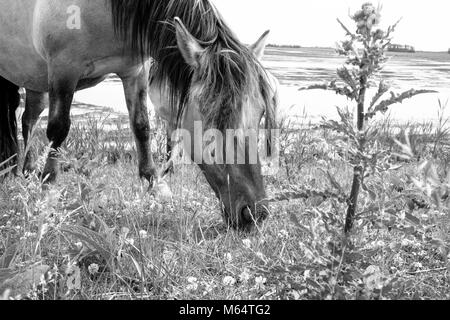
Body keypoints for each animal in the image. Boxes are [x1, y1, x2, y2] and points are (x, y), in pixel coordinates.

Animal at [0, 0, 278, 230]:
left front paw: (156, 187)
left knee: (28, 119)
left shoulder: (134, 71)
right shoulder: (63, 69)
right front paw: (47, 191)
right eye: (217, 115)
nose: (255, 213)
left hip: (35, 81)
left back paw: (26, 171)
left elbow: (141, 127)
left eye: (261, 112)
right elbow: (58, 129)